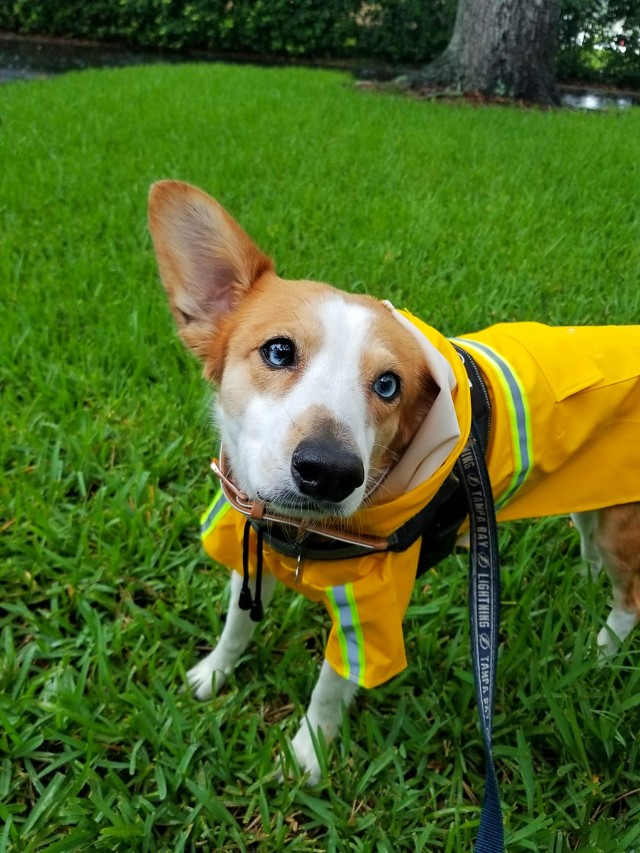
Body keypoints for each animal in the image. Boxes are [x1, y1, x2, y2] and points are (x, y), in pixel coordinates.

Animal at [146, 181, 640, 784]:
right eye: (279, 350)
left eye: (388, 385)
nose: (331, 472)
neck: (297, 534)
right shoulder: (250, 555)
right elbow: (236, 626)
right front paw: (215, 672)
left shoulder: (370, 616)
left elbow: (329, 688)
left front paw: (308, 754)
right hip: (597, 497)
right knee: (589, 538)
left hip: (624, 524)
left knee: (631, 598)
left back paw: (599, 651)